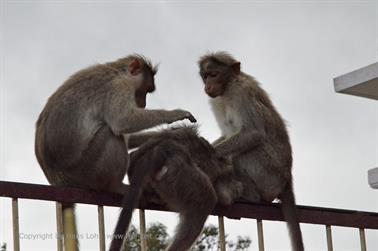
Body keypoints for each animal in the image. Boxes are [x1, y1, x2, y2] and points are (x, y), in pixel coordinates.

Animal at [34, 55, 196, 251]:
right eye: (146, 89)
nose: (143, 104)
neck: (117, 71)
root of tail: (59, 182)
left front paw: (174, 133)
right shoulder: (119, 87)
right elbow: (123, 121)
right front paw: (175, 114)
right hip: (86, 172)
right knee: (111, 135)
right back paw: (115, 186)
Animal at [198, 51, 304, 251]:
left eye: (214, 74)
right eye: (205, 76)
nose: (207, 86)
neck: (228, 87)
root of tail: (287, 179)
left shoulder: (241, 92)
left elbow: (253, 133)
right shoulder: (217, 101)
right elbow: (226, 134)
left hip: (270, 176)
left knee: (246, 152)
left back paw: (246, 195)